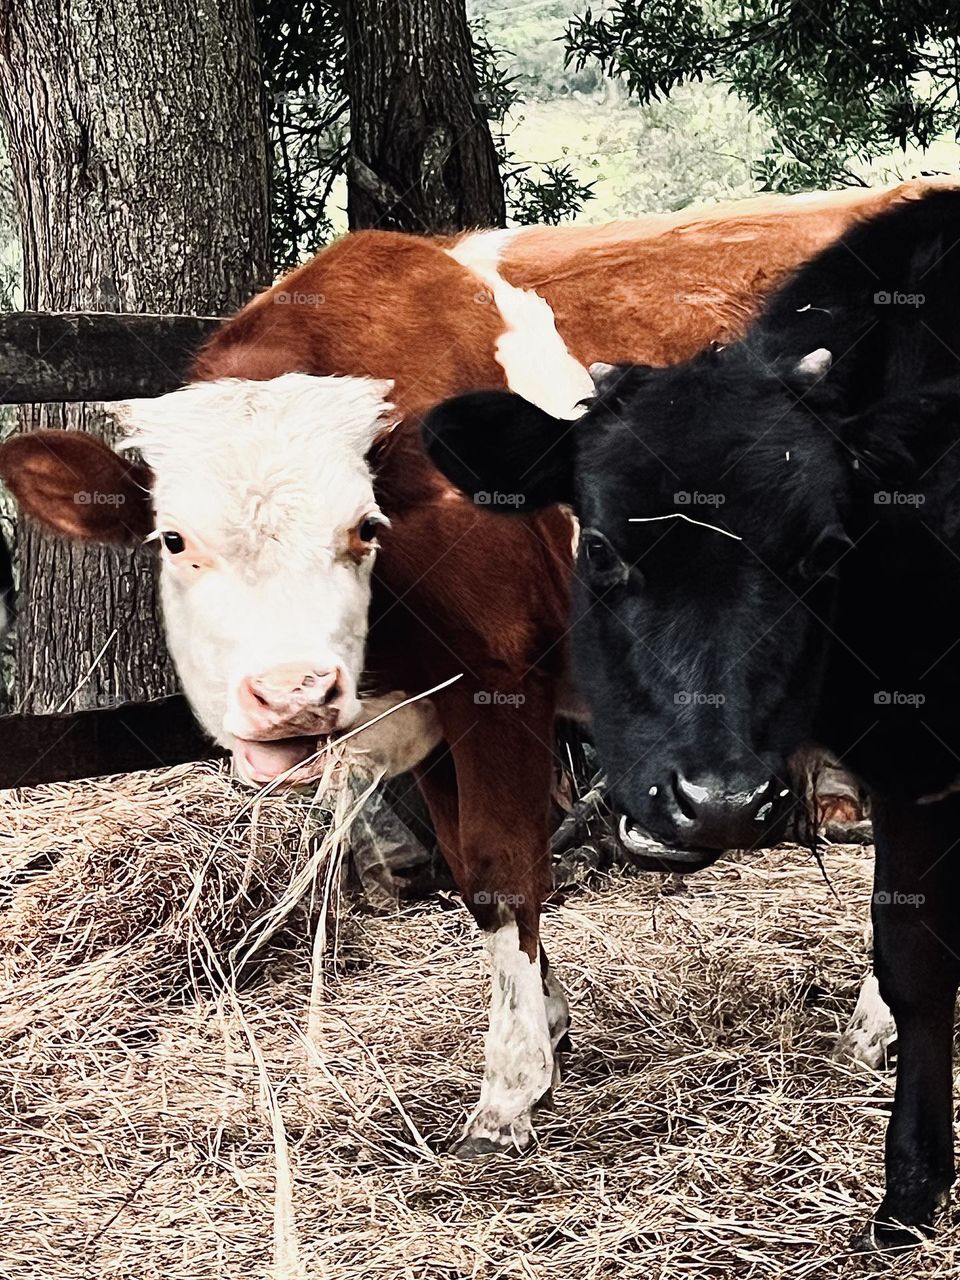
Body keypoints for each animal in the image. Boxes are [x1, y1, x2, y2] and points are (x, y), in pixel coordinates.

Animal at [0, 185, 936, 1157]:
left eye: (363, 529)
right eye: (175, 540)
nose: (292, 693)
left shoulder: (501, 676)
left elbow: (498, 860)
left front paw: (513, 1084)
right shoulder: (435, 701)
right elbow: (465, 870)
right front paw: (546, 1026)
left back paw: (880, 1021)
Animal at [422, 192, 960, 1249]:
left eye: (825, 551)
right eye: (600, 551)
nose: (717, 801)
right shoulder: (912, 763)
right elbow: (914, 958)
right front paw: (913, 1192)